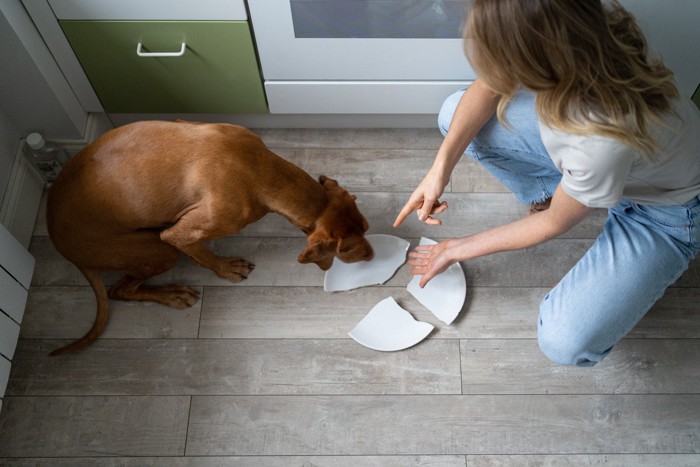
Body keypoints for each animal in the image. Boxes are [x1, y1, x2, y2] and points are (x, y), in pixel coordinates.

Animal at [46, 120, 374, 354]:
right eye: (347, 250)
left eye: (367, 228)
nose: (372, 256)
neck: (259, 168)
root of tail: (62, 247)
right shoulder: (183, 232)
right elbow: (201, 254)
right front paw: (226, 268)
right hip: (156, 250)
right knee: (120, 290)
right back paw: (172, 295)